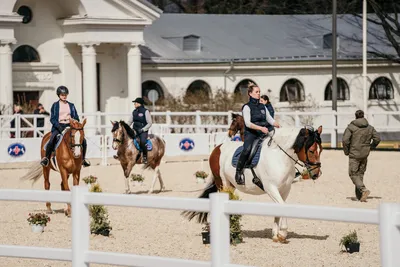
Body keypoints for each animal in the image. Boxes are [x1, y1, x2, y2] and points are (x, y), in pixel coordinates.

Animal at [183, 125, 324, 243]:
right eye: (311, 151)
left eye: (321, 150)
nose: (317, 173)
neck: (279, 157)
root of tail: (217, 148)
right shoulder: (271, 188)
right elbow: (283, 207)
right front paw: (283, 233)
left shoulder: (285, 189)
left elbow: (280, 207)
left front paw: (276, 235)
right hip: (222, 183)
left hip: (231, 186)